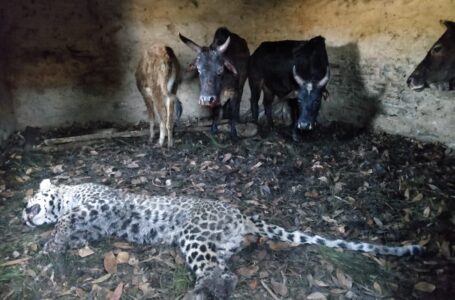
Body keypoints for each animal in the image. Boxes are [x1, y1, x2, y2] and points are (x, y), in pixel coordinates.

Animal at [23, 179, 424, 298]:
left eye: (29, 200)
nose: (24, 215)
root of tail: (240, 214)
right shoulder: (97, 226)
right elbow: (74, 231)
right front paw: (59, 244)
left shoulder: (98, 204)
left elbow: (66, 221)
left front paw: (52, 242)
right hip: (214, 244)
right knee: (225, 268)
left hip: (192, 233)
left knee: (220, 274)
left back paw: (202, 291)